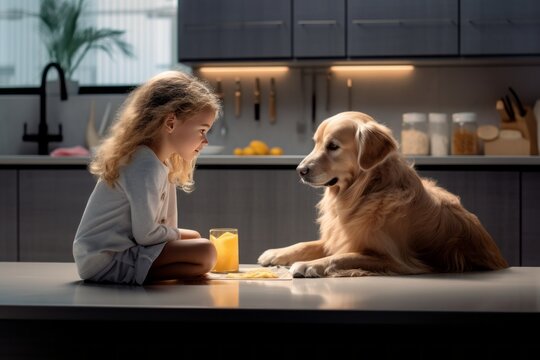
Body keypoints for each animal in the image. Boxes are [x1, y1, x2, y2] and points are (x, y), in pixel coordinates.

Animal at [260, 111, 508, 278]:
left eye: (333, 146)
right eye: (316, 143)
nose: (300, 170)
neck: (365, 192)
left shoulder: (396, 260)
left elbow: (342, 256)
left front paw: (309, 264)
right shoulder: (341, 237)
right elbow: (308, 243)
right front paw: (276, 253)